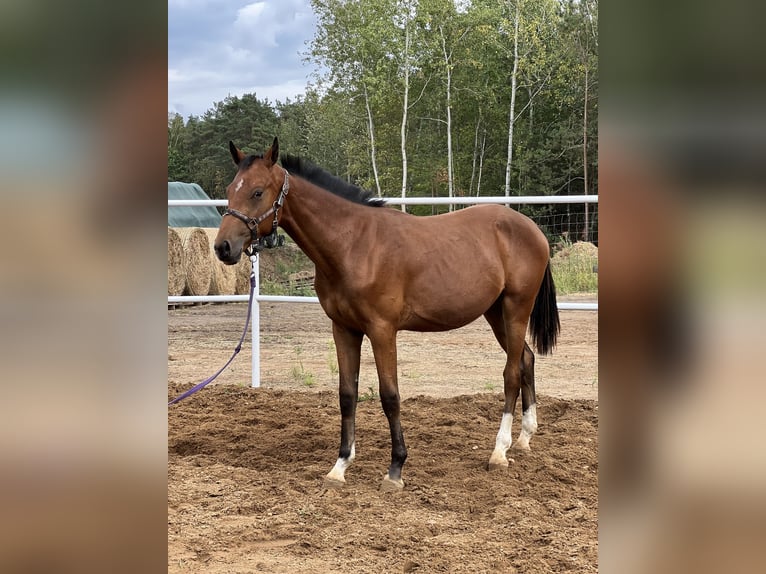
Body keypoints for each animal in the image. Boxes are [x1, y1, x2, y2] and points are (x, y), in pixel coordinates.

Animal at [214, 138, 560, 491]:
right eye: (229, 189)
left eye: (257, 192)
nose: (222, 247)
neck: (354, 244)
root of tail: (530, 228)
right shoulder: (344, 329)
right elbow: (347, 395)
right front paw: (339, 467)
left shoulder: (382, 330)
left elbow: (389, 396)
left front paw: (395, 469)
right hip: (495, 312)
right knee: (526, 359)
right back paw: (524, 438)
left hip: (516, 308)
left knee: (511, 373)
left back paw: (499, 452)